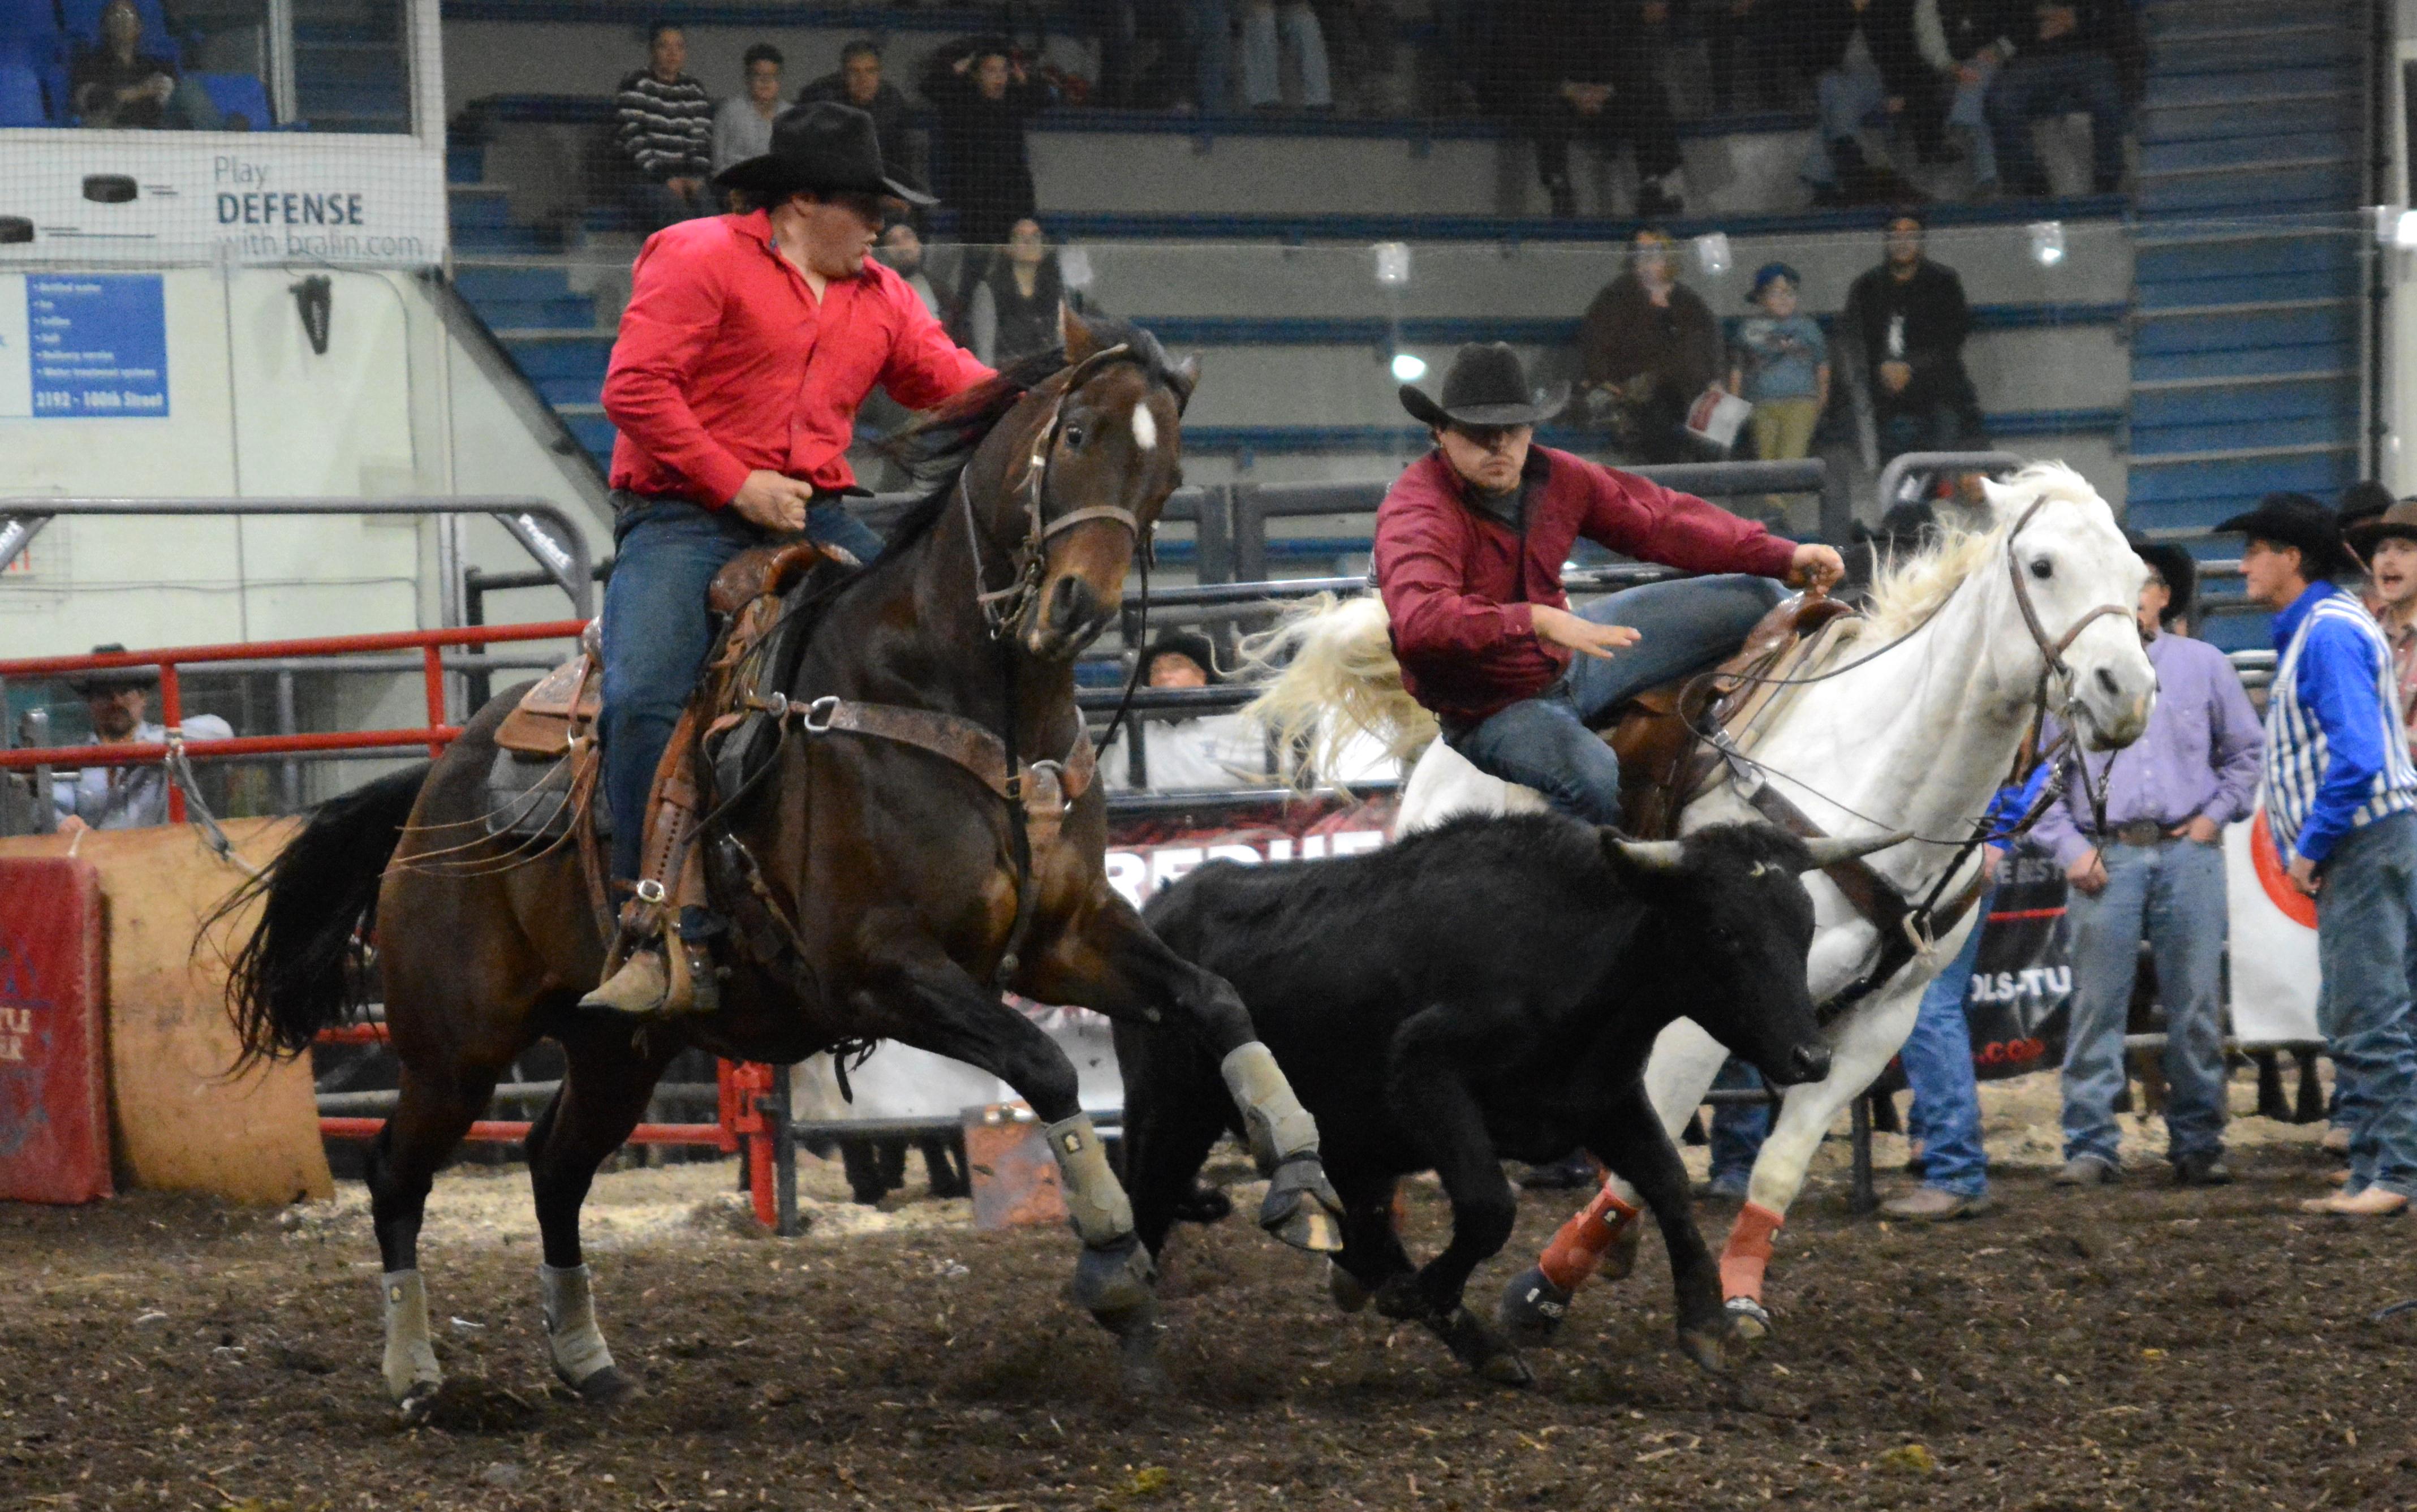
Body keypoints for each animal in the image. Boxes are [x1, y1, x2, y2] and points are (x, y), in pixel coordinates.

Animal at [214, 309, 1346, 1418]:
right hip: (458, 1046)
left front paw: (1300, 1170)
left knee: (553, 1165)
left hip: (613, 1047)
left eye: (1168, 473)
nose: (1075, 606)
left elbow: (1215, 998)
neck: (961, 698)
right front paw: (1112, 1256)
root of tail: (432, 783)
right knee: (396, 1173)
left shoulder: (1065, 938)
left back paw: (588, 1362)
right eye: (1074, 436)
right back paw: (414, 1372)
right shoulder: (882, 968)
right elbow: (1045, 1063)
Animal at [1112, 816, 1897, 1386]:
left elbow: (1669, 1185)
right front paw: (1423, 1292)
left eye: (1803, 929)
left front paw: (1704, 1323)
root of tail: (1161, 906)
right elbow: (1490, 1208)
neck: (1577, 954)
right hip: (1169, 1115)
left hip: (1345, 1145)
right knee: (1145, 1209)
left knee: (1365, 1238)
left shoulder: (1604, 1100)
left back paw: (1476, 1344)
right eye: (1726, 933)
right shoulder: (1425, 1073)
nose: (1812, 1057)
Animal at [1244, 462, 2155, 1345]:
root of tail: (1446, 744)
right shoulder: (1696, 1014)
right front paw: (1545, 1286)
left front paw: (1739, 1293)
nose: (2128, 693)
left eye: (2134, 573)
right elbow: (1652, 1158)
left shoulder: (1874, 1025)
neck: (1876, 778)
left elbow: (1774, 1166)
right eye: (2042, 566)